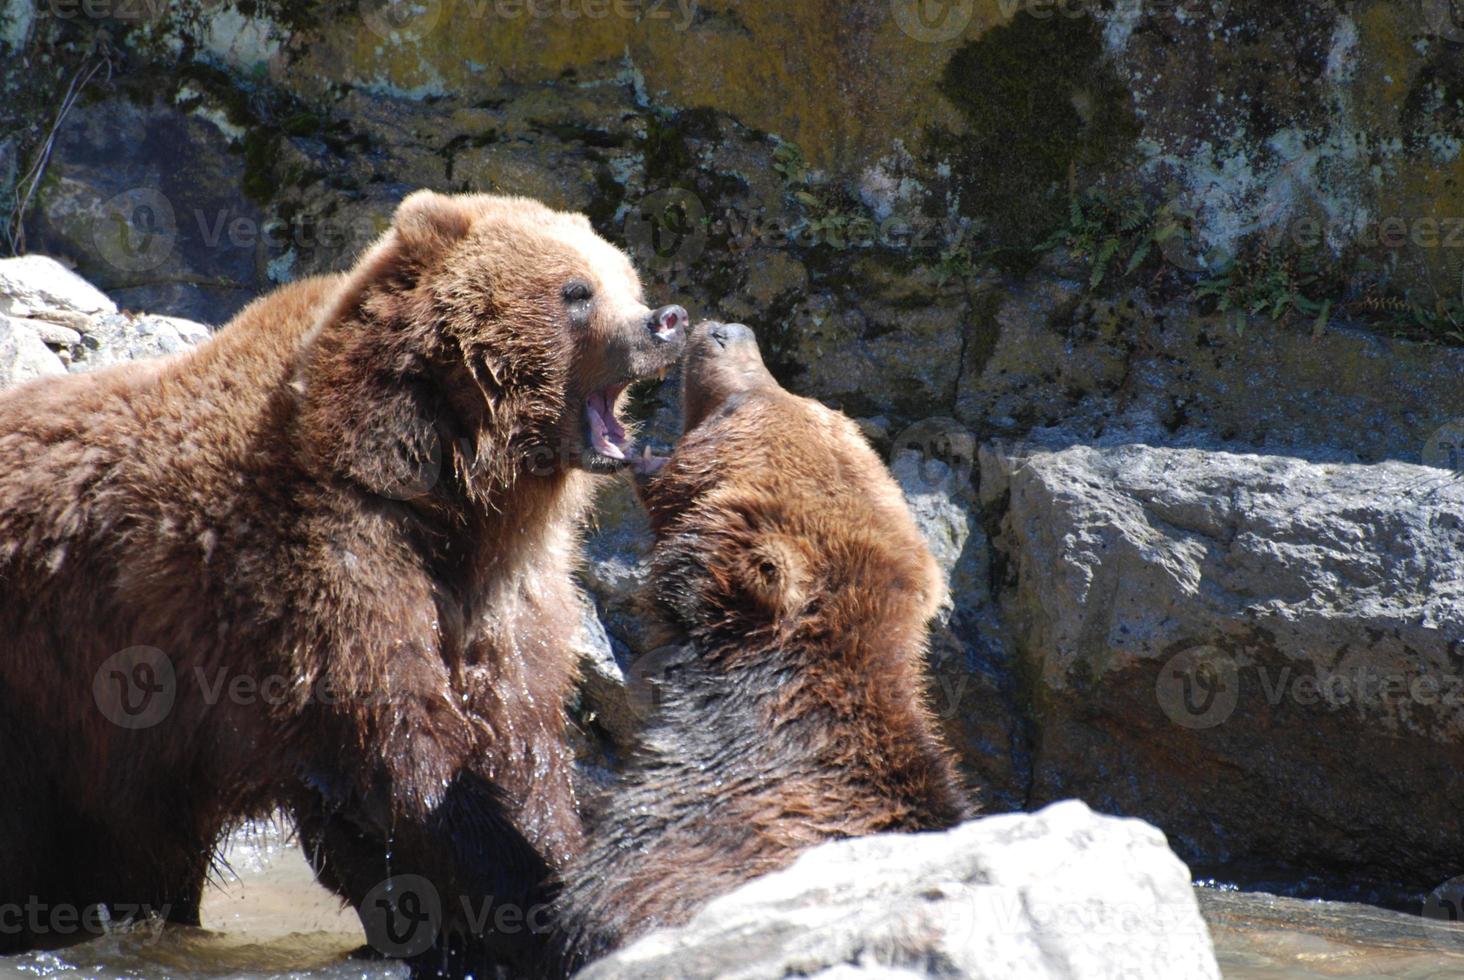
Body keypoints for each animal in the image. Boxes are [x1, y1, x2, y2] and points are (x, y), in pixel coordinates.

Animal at [0, 188, 685, 972]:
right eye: (576, 291)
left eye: (624, 277)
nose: (665, 321)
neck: (454, 493)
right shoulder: (328, 564)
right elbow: (405, 761)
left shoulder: (507, 598)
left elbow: (521, 744)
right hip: (44, 688)